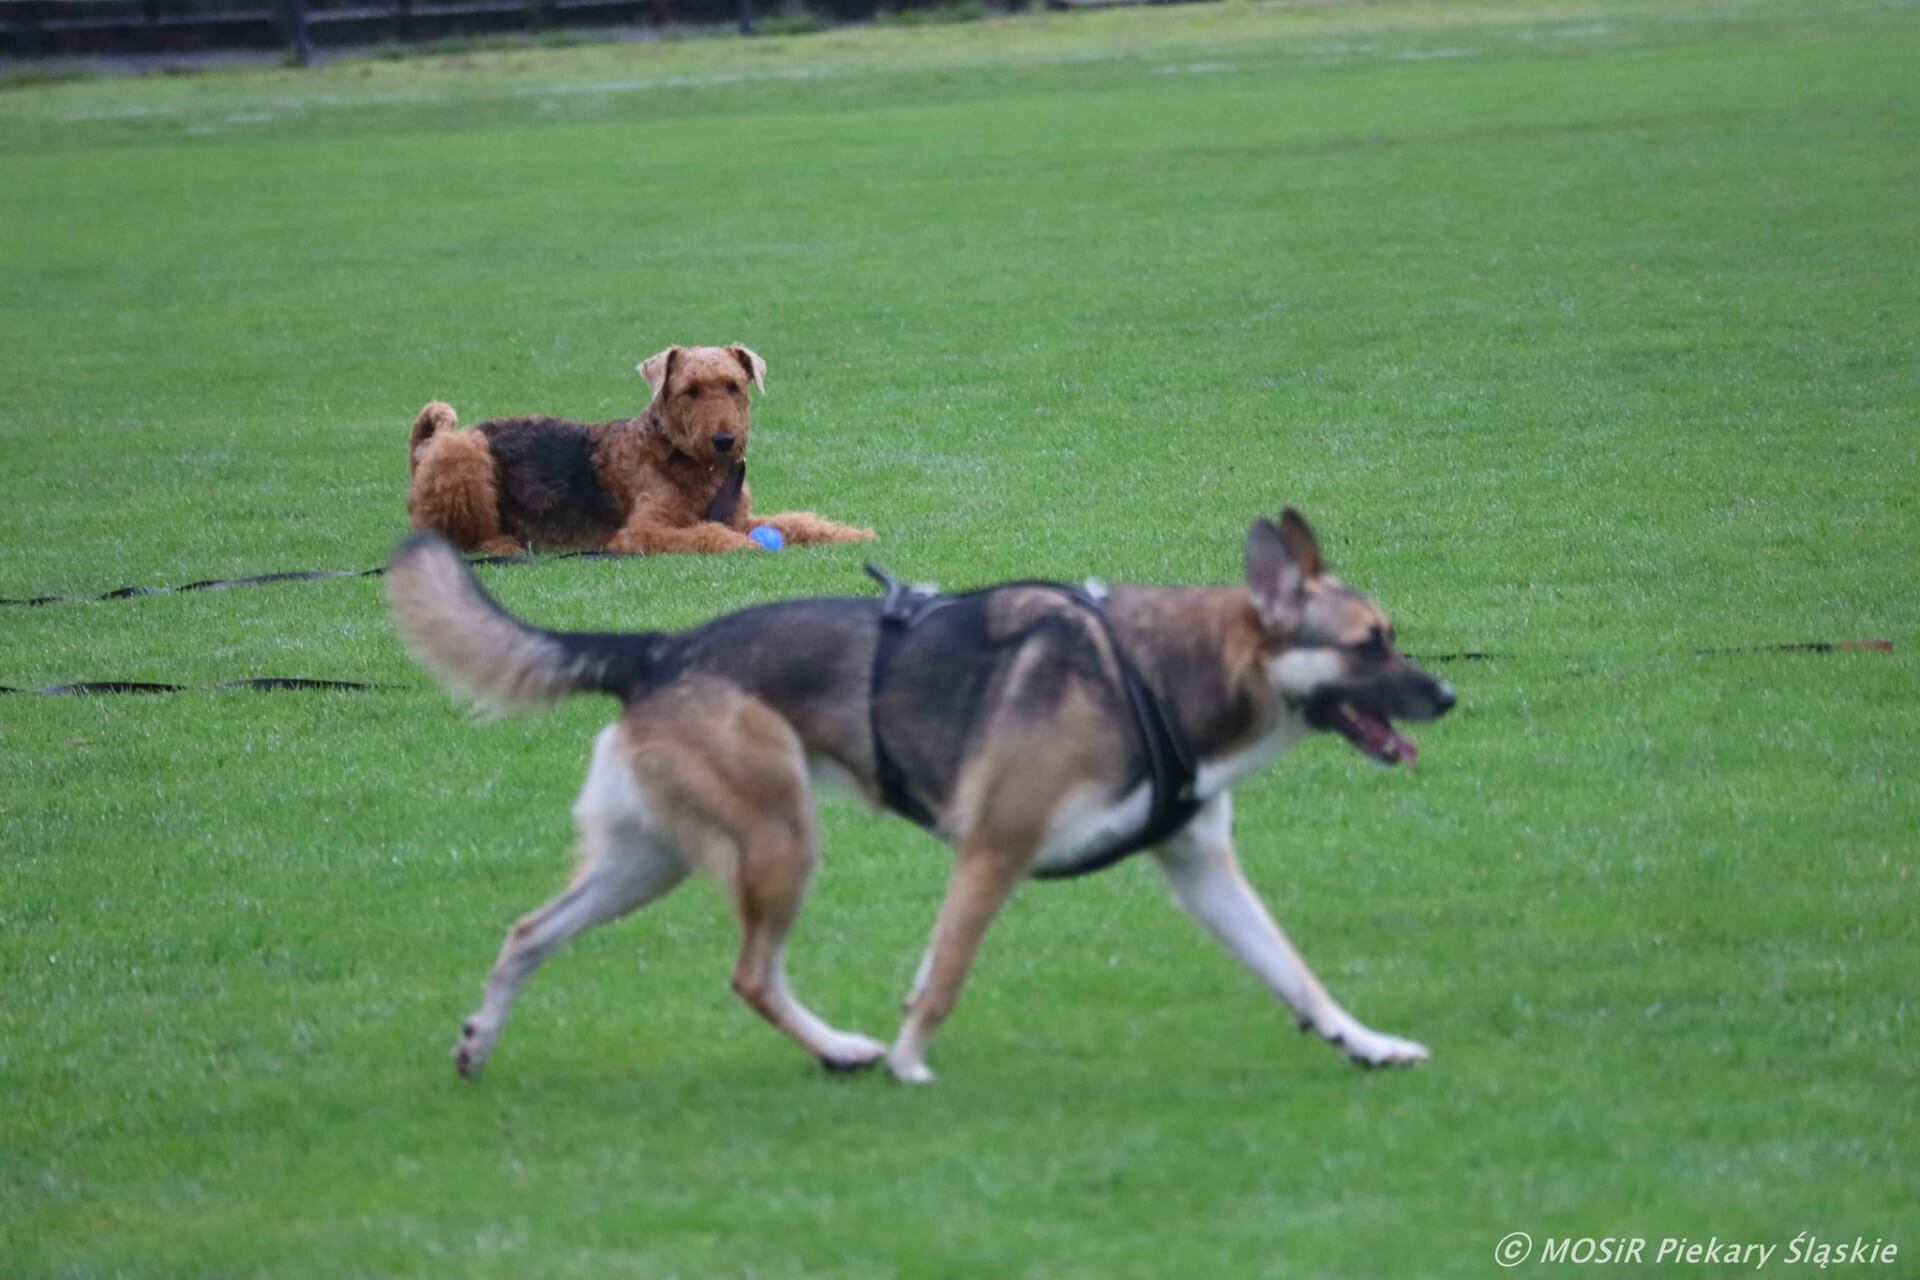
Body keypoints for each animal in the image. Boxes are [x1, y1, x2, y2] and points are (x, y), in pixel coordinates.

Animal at [397, 506, 1459, 1082]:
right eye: (1370, 646)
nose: (1449, 697)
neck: (1157, 673)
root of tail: (656, 651)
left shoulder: (1201, 870)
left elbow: (1296, 973)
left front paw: (1368, 1045)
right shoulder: (993, 850)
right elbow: (943, 977)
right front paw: (911, 1062)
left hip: (649, 860)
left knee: (529, 932)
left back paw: (478, 1045)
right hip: (781, 840)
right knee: (751, 974)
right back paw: (844, 1051)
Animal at [412, 343, 879, 556]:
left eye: (733, 385)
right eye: (690, 390)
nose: (724, 441)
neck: (686, 460)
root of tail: (424, 446)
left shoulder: (740, 517)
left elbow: (798, 522)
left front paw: (853, 534)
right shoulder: (643, 531)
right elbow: (706, 534)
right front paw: (744, 546)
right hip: (464, 458)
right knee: (460, 538)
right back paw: (505, 546)